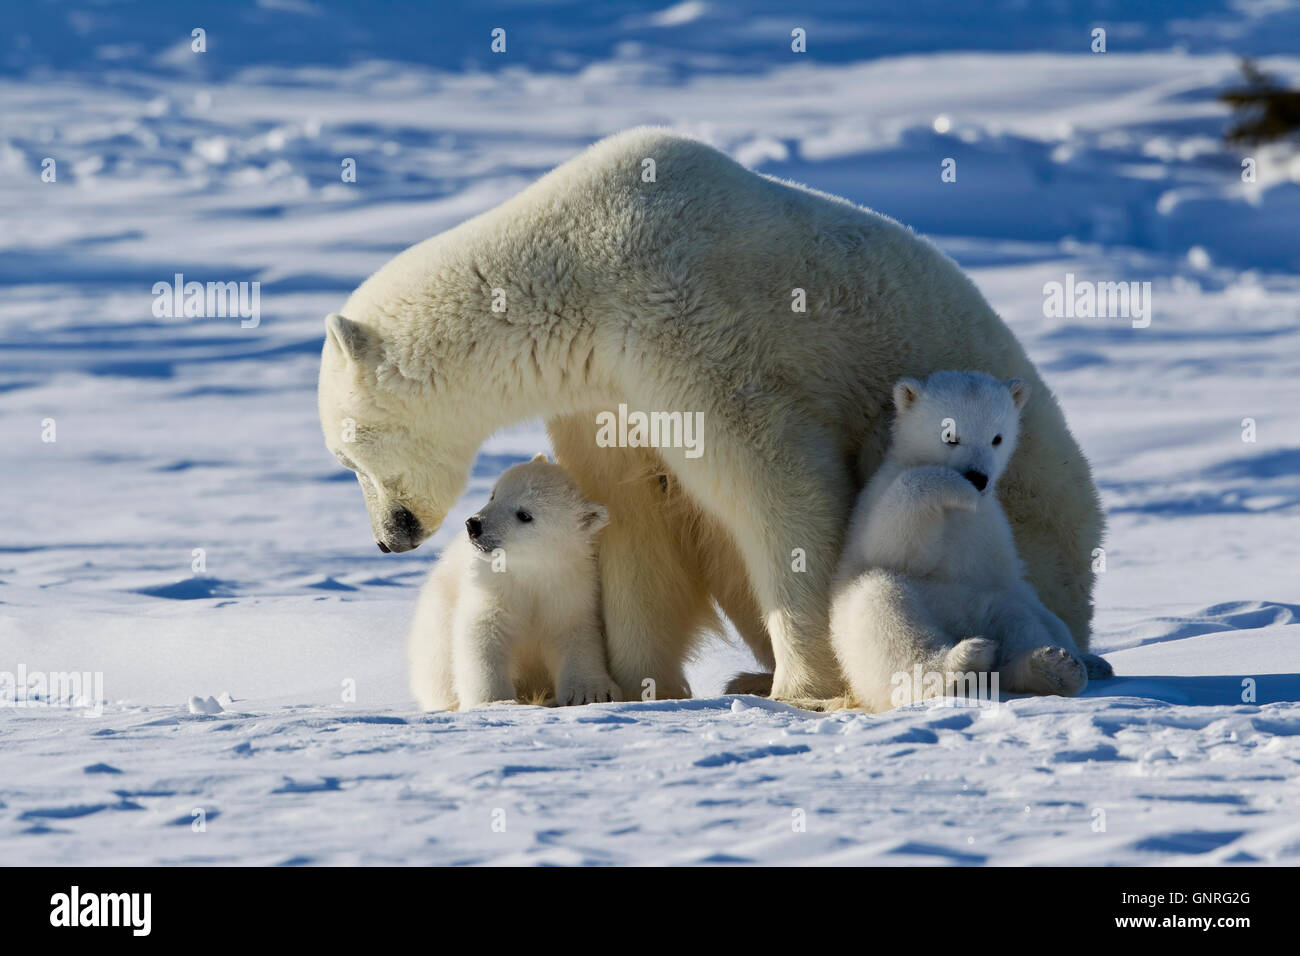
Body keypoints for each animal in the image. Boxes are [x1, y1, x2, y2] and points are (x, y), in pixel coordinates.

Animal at [319, 127, 1102, 702]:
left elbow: (776, 482)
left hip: (1017, 515)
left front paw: (804, 686)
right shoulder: (604, 390)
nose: (389, 538)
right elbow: (634, 517)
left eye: (348, 452)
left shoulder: (684, 318)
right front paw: (642, 684)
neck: (577, 270)